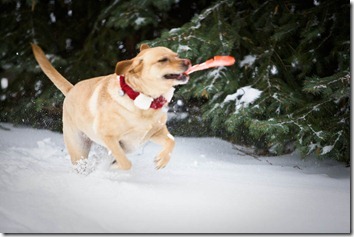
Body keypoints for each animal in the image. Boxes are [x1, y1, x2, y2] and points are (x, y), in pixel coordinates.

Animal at [31, 43, 191, 169]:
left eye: (177, 55)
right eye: (163, 60)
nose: (188, 61)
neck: (141, 101)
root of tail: (71, 89)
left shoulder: (155, 132)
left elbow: (171, 140)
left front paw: (162, 159)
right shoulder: (109, 137)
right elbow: (126, 163)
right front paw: (114, 166)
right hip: (78, 149)